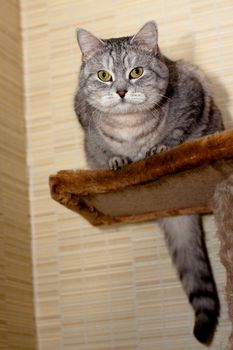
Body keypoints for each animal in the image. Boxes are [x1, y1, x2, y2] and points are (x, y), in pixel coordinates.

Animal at [74, 20, 224, 344]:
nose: (120, 91)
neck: (130, 127)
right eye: (103, 75)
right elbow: (105, 149)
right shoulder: (84, 119)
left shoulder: (193, 95)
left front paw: (157, 148)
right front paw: (117, 159)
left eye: (137, 72)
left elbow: (175, 133)